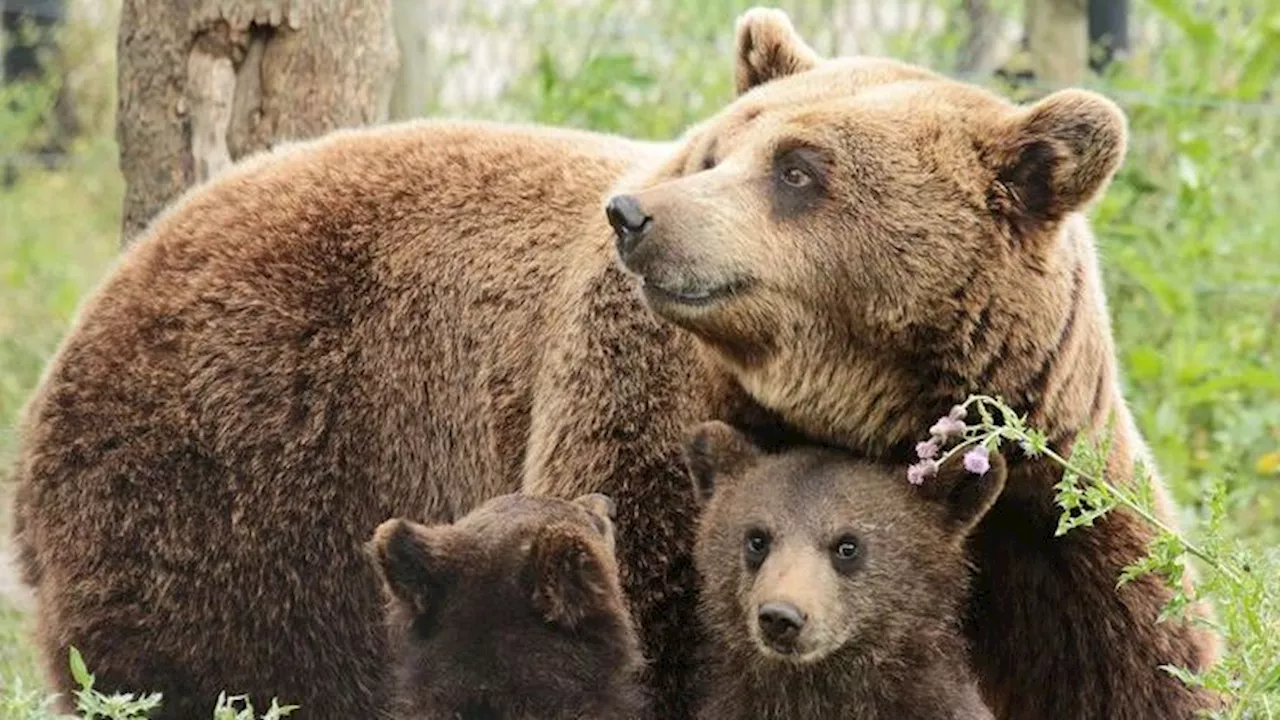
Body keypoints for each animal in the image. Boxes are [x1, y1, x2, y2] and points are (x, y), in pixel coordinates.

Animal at [7, 5, 1208, 717]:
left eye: (800, 169)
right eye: (721, 144)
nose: (635, 214)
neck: (878, 407)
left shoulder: (1049, 489)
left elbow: (1126, 660)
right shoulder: (648, 417)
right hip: (239, 496)